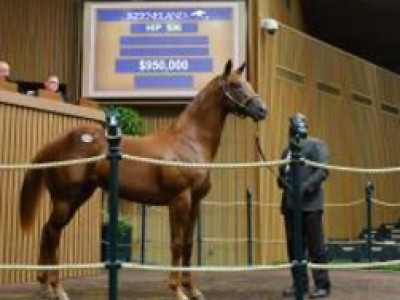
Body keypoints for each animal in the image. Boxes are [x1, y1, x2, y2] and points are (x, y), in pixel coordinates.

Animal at [19, 59, 268, 300]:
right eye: (236, 85)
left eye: (247, 83)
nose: (262, 110)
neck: (189, 142)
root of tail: (56, 144)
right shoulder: (180, 200)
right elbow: (177, 243)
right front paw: (177, 291)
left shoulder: (195, 202)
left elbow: (188, 244)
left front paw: (193, 290)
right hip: (65, 200)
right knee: (52, 233)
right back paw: (57, 289)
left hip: (76, 198)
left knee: (49, 232)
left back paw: (46, 287)